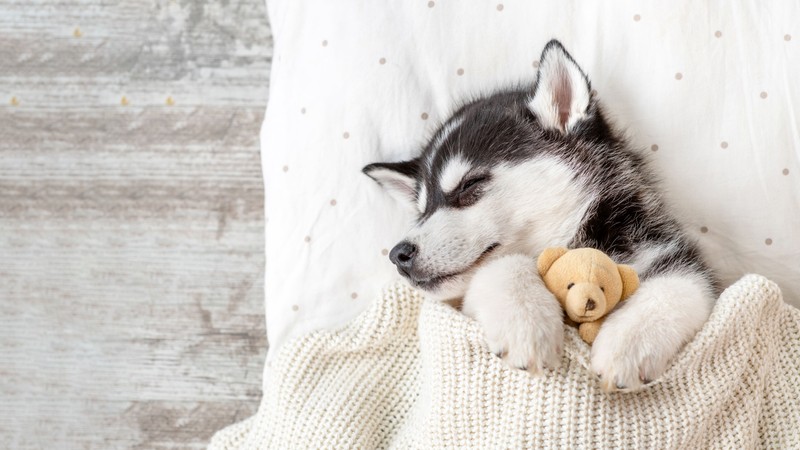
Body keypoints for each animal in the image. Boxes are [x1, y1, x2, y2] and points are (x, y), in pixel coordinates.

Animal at [366, 40, 716, 392]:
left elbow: (682, 285)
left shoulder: (672, 255)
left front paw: (627, 344)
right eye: (422, 211)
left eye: (469, 185)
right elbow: (503, 264)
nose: (398, 254)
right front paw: (526, 322)